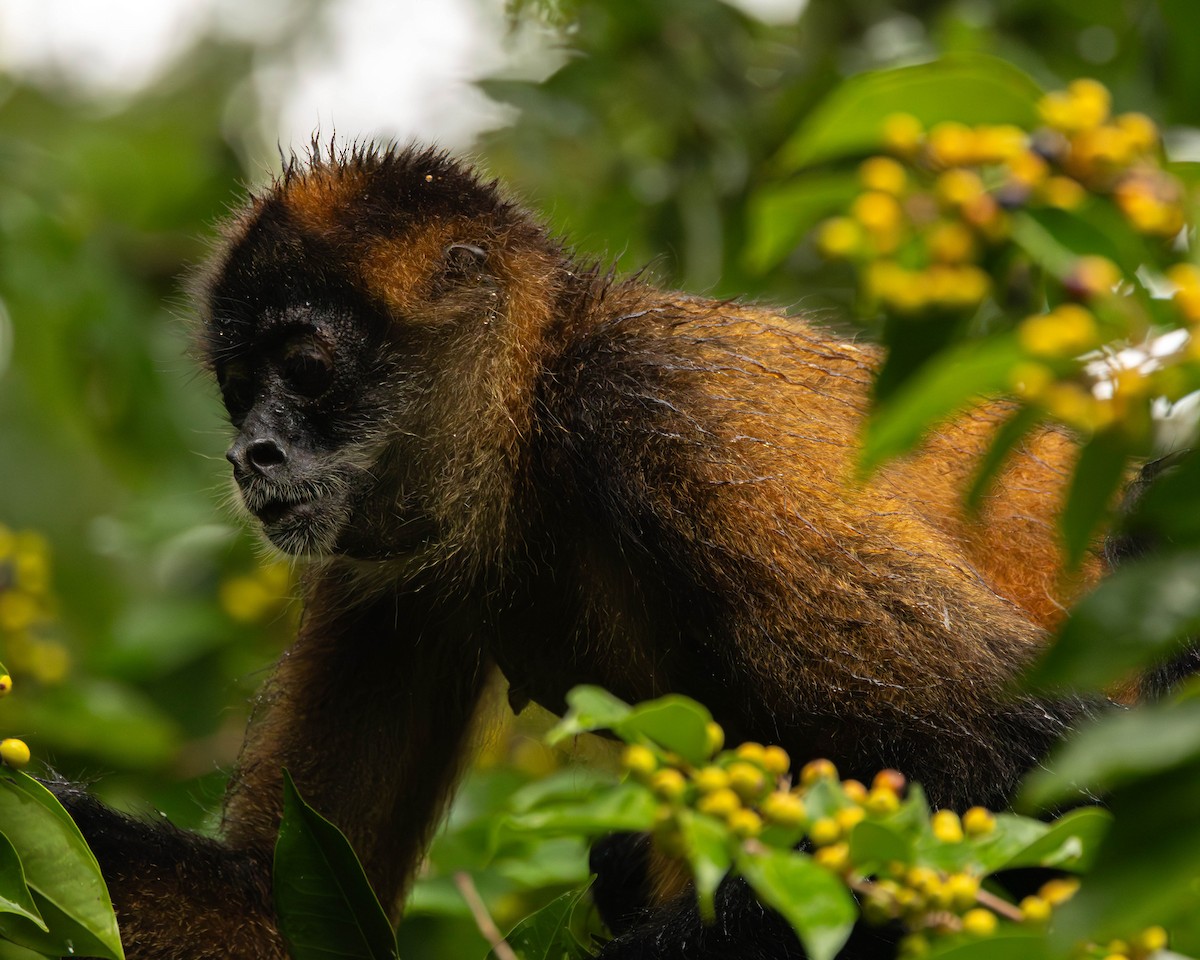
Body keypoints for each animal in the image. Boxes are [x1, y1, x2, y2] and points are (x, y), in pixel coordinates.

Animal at [53, 142, 1117, 959]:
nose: (250, 455)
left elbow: (1039, 757)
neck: (535, 440)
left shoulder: (656, 411)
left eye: (307, 370)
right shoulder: (381, 563)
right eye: (239, 390)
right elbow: (275, 908)